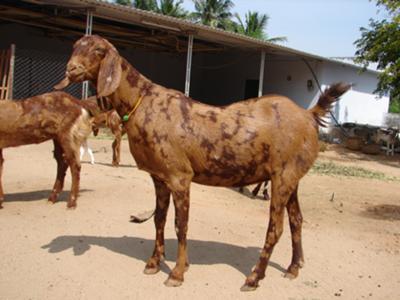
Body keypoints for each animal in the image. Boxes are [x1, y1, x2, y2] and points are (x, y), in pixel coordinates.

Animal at [56, 35, 350, 290]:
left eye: (98, 50)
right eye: (75, 46)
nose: (72, 69)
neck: (143, 102)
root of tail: (309, 115)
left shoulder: (180, 176)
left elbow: (180, 225)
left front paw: (176, 273)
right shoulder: (159, 176)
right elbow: (159, 219)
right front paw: (153, 263)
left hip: (283, 177)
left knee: (275, 228)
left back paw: (254, 277)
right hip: (291, 176)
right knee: (296, 219)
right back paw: (293, 267)